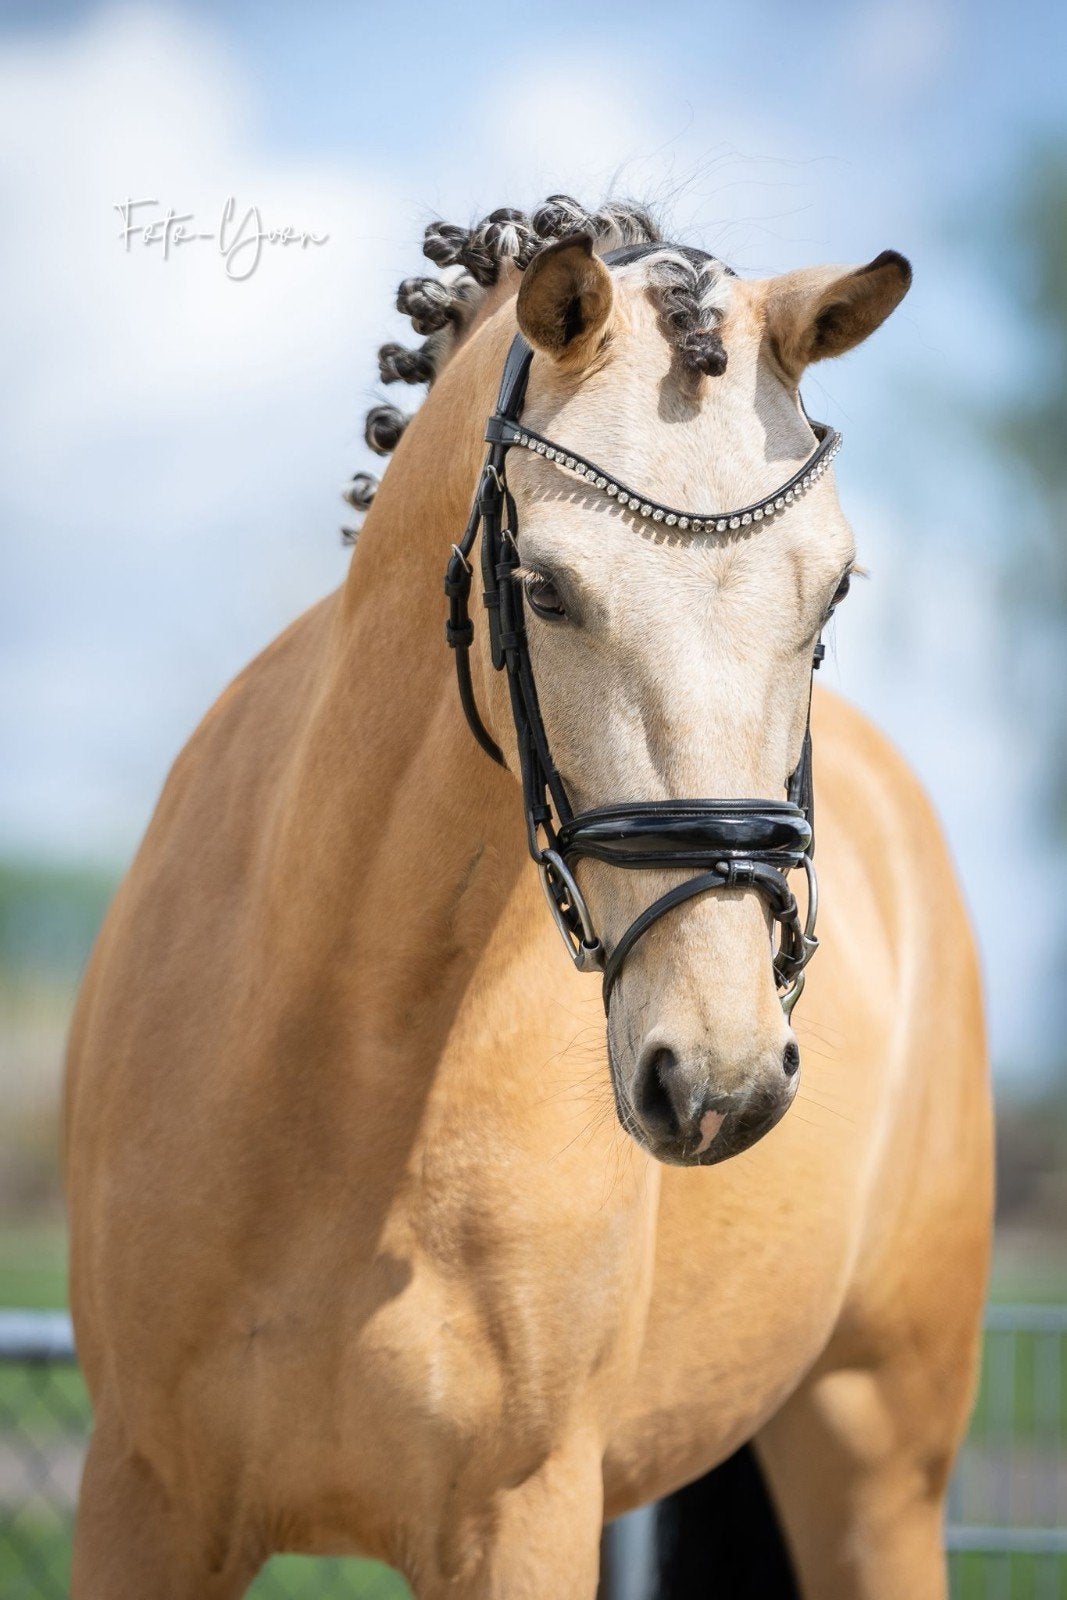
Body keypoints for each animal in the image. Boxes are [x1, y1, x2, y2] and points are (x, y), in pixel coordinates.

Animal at [63, 196, 993, 1600]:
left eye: (831, 589)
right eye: (545, 588)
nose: (718, 1076)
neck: (349, 1058)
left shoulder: (521, 1519)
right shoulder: (141, 1505)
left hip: (876, 1458)